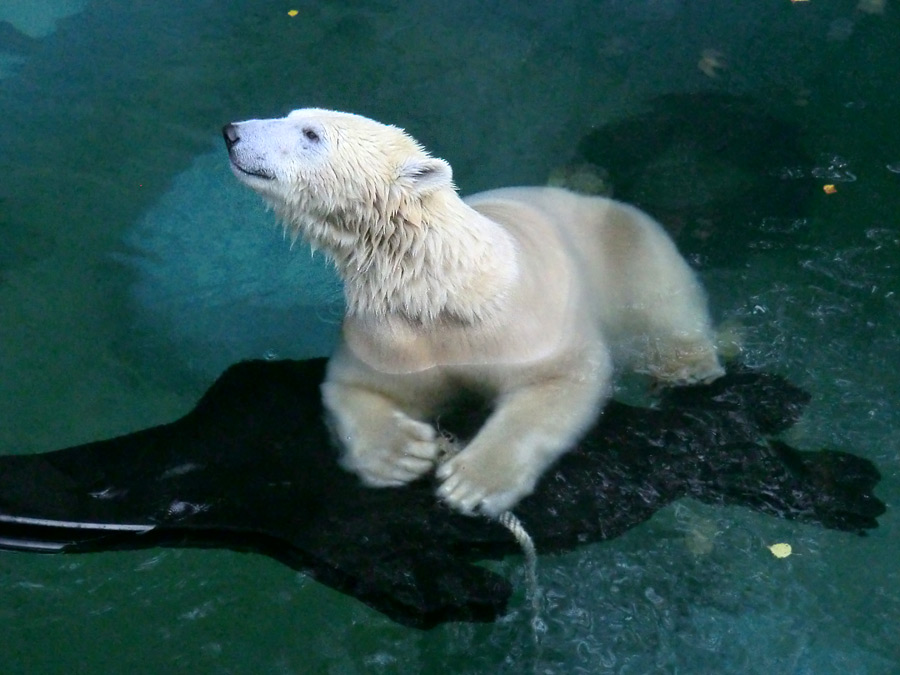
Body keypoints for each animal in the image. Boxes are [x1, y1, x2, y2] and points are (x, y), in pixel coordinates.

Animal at [225, 108, 724, 516]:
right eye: (292, 115)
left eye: (311, 132)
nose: (232, 132)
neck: (441, 288)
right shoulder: (390, 337)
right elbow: (350, 387)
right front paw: (401, 454)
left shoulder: (525, 324)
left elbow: (563, 379)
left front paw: (473, 483)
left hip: (628, 247)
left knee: (664, 300)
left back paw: (689, 366)